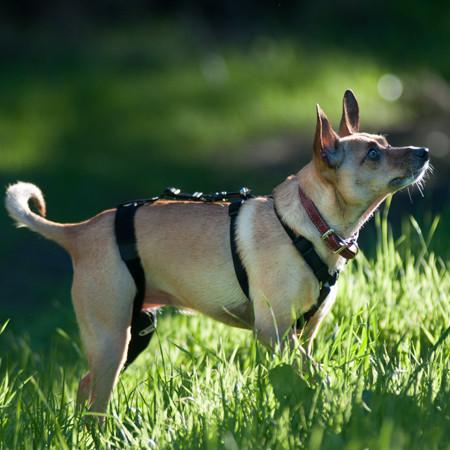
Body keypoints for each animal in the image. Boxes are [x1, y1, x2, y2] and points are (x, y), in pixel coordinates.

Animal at [5, 90, 430, 414]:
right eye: (372, 154)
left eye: (386, 144)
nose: (425, 150)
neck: (308, 224)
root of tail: (78, 233)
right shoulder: (274, 333)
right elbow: (314, 372)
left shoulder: (302, 335)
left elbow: (306, 372)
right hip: (113, 339)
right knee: (97, 401)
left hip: (132, 336)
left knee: (84, 387)